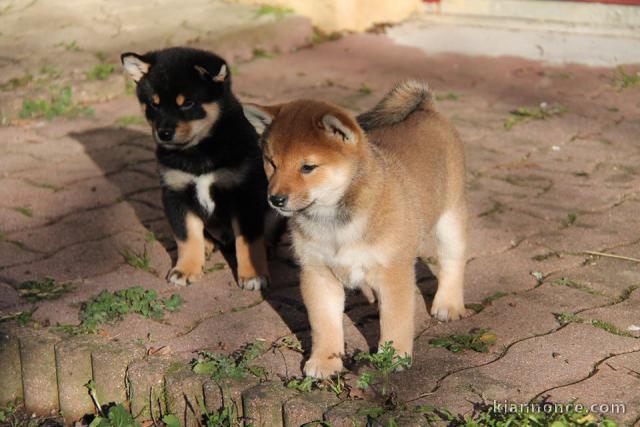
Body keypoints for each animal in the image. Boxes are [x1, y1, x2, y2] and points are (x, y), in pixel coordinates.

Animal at [121, 47, 268, 290]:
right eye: (154, 104)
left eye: (187, 103)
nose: (164, 133)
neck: (198, 150)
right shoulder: (176, 192)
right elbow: (187, 235)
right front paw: (186, 269)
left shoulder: (245, 192)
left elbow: (248, 240)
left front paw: (253, 274)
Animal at [242, 82, 468, 380]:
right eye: (271, 163)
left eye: (308, 167)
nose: (275, 199)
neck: (334, 222)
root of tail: (427, 110)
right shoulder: (317, 274)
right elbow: (325, 324)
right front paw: (325, 361)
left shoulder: (394, 273)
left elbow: (395, 321)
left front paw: (393, 357)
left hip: (450, 220)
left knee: (452, 262)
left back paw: (448, 305)